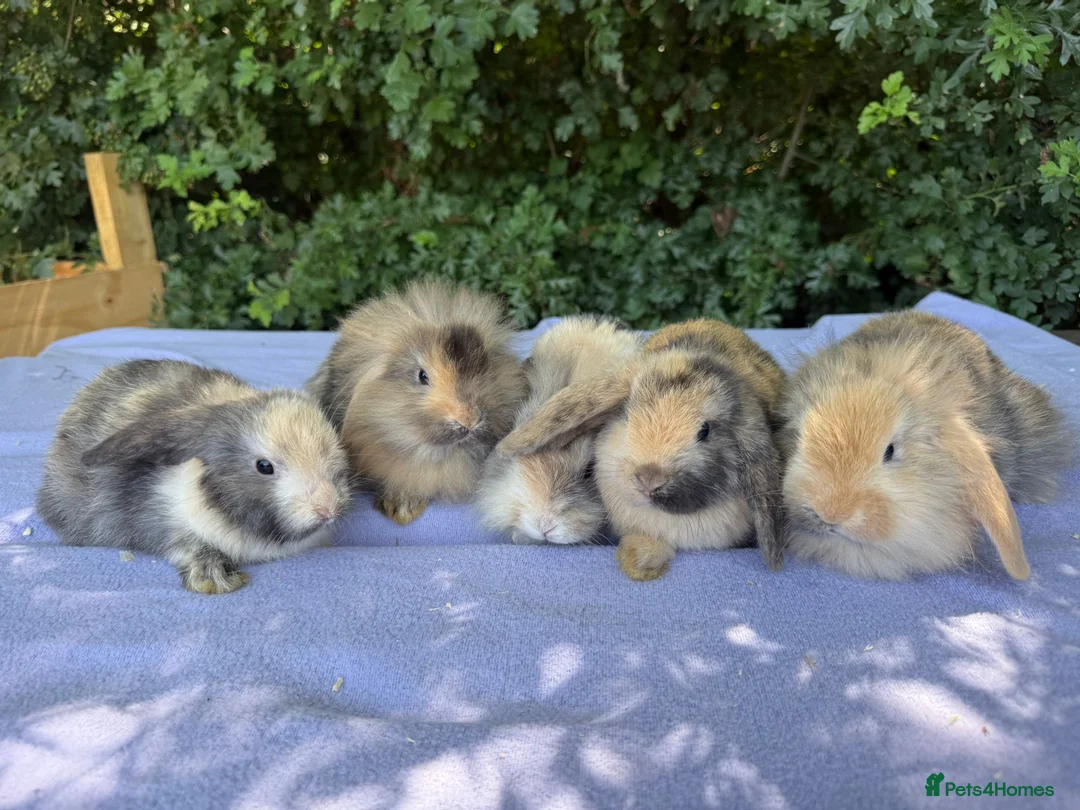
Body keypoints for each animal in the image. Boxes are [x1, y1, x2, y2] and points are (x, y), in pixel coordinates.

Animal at [37, 359, 352, 594]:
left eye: (334, 445)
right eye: (264, 466)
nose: (328, 507)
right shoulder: (160, 522)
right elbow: (184, 545)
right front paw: (215, 578)